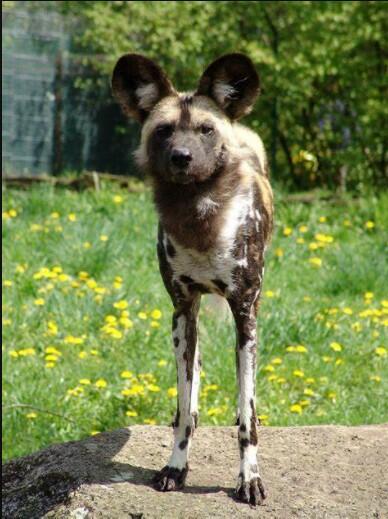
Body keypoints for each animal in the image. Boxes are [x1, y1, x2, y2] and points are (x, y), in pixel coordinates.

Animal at [112, 53, 274, 508]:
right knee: (193, 378)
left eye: (206, 129)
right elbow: (185, 408)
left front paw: (249, 479)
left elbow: (247, 418)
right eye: (164, 130)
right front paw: (176, 467)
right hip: (187, 324)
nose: (182, 157)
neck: (200, 219)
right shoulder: (182, 310)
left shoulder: (245, 314)